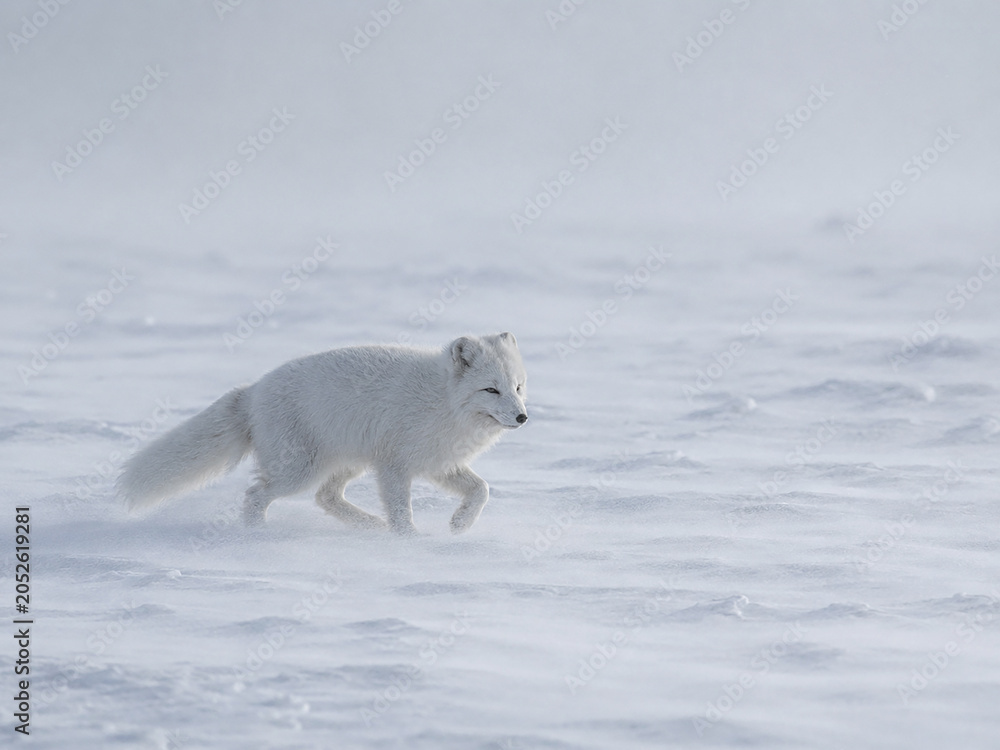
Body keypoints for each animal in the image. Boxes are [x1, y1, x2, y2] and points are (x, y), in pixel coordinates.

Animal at [117, 332, 527, 535]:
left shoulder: (439, 463)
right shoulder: (394, 465)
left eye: (518, 387)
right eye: (491, 389)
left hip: (346, 462)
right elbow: (401, 511)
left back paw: (368, 526)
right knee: (256, 495)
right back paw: (256, 537)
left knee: (326, 497)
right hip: (299, 470)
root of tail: (253, 392)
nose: (523, 417)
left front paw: (459, 525)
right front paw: (407, 542)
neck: (442, 400)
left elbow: (481, 490)